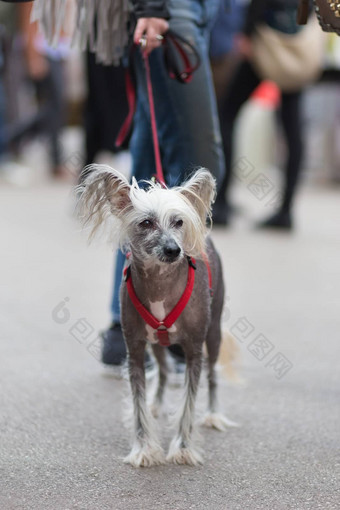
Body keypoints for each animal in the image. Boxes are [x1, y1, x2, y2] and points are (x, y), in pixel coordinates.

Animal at [78, 166, 235, 466]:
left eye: (179, 222)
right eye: (147, 222)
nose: (174, 250)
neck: (161, 284)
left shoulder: (194, 352)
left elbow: (188, 404)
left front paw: (183, 448)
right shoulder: (136, 351)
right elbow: (137, 403)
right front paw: (144, 449)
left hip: (213, 333)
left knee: (212, 375)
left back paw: (213, 414)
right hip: (157, 344)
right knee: (163, 371)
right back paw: (157, 403)